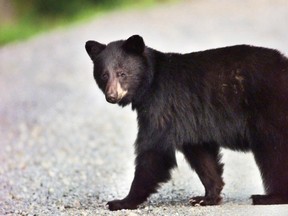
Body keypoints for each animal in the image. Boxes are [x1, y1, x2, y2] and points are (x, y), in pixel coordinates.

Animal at [85, 35, 288, 211]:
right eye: (103, 75)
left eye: (122, 73)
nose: (111, 96)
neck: (150, 82)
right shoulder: (189, 121)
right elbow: (201, 154)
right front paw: (206, 197)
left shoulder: (161, 105)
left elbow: (154, 150)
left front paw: (122, 201)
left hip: (269, 113)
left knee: (274, 152)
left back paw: (270, 197)